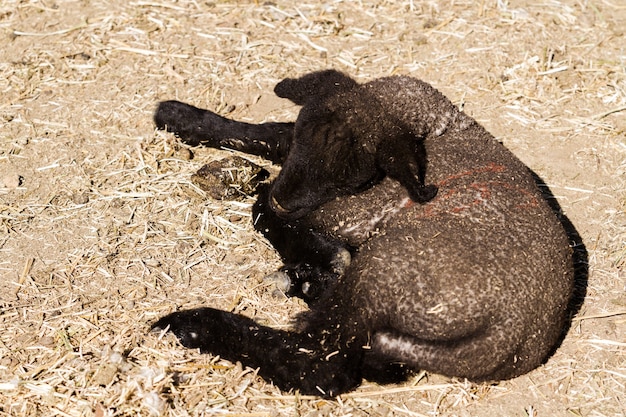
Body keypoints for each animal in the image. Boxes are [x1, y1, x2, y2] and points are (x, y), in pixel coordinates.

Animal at [150, 70, 572, 396]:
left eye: (351, 178)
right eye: (305, 135)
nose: (285, 201)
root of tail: (507, 338)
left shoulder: (344, 213)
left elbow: (261, 205)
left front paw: (323, 254)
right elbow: (271, 134)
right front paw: (178, 116)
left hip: (382, 272)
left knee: (318, 363)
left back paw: (191, 324)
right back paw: (307, 282)